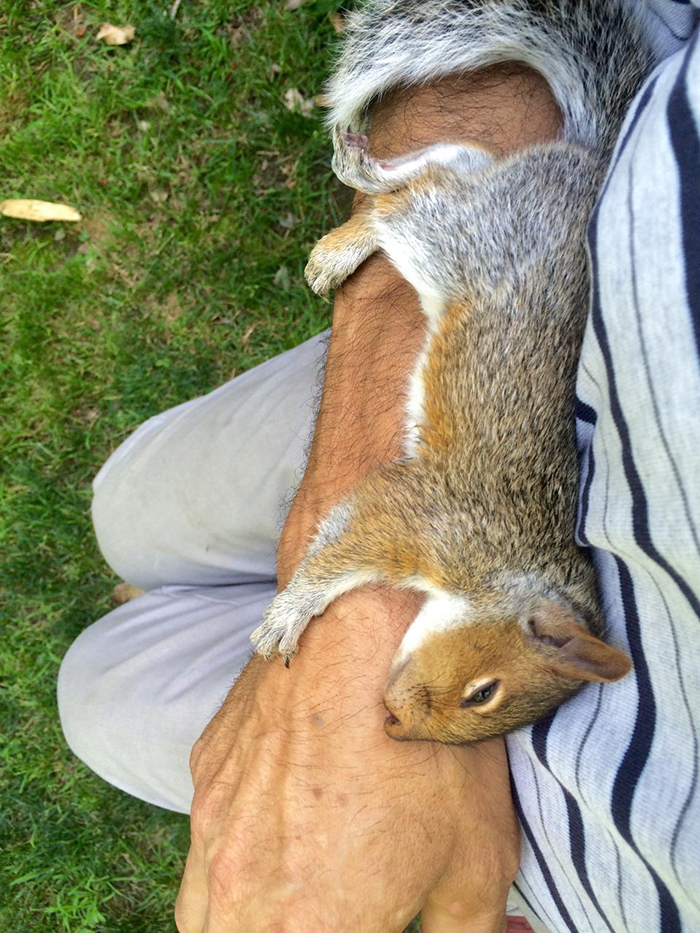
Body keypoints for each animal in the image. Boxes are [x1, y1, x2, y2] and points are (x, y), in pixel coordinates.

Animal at [252, 0, 660, 744]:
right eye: (484, 692)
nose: (394, 723)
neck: (517, 569)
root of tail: (591, 163)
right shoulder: (423, 517)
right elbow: (338, 552)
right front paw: (288, 613)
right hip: (465, 242)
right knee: (417, 198)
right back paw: (359, 188)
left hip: (481, 207)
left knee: (458, 163)